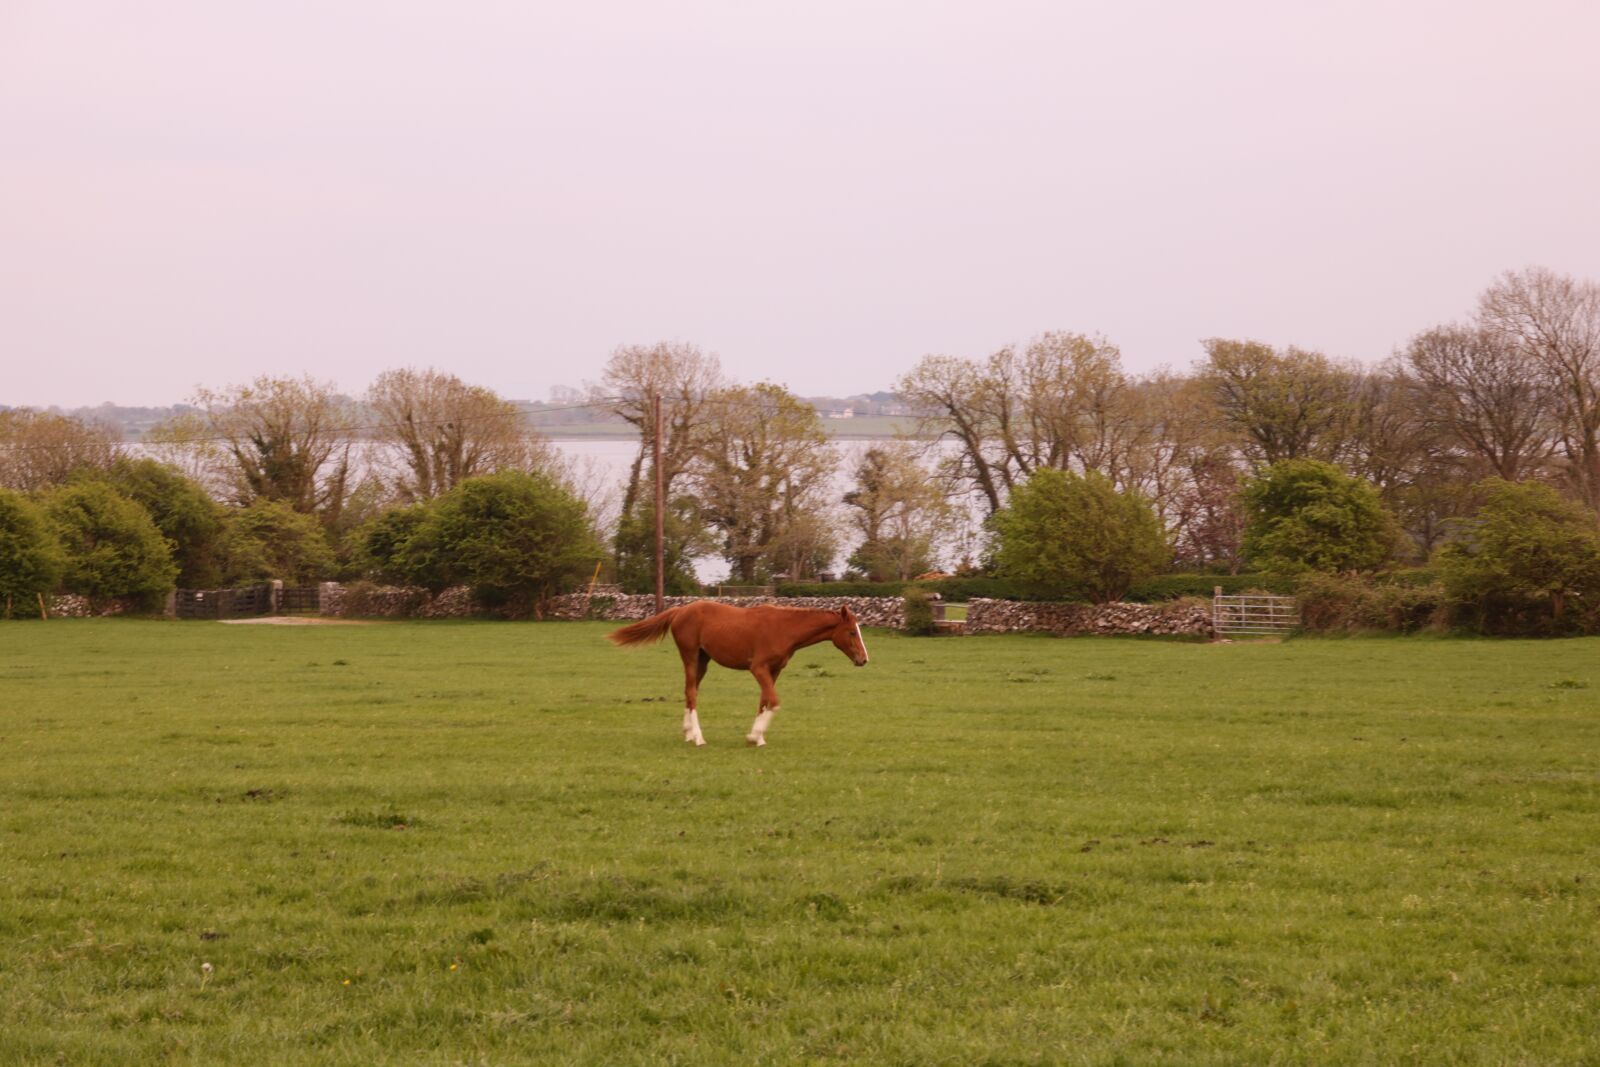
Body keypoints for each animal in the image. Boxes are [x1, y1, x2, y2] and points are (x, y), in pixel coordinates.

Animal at [607, 601, 869, 747]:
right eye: (851, 632)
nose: (864, 659)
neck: (784, 628)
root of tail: (681, 610)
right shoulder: (758, 668)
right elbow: (774, 701)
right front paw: (754, 736)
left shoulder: (774, 670)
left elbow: (764, 701)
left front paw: (758, 738)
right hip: (690, 655)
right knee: (691, 692)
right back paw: (699, 738)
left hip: (703, 660)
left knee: (690, 691)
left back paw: (688, 733)